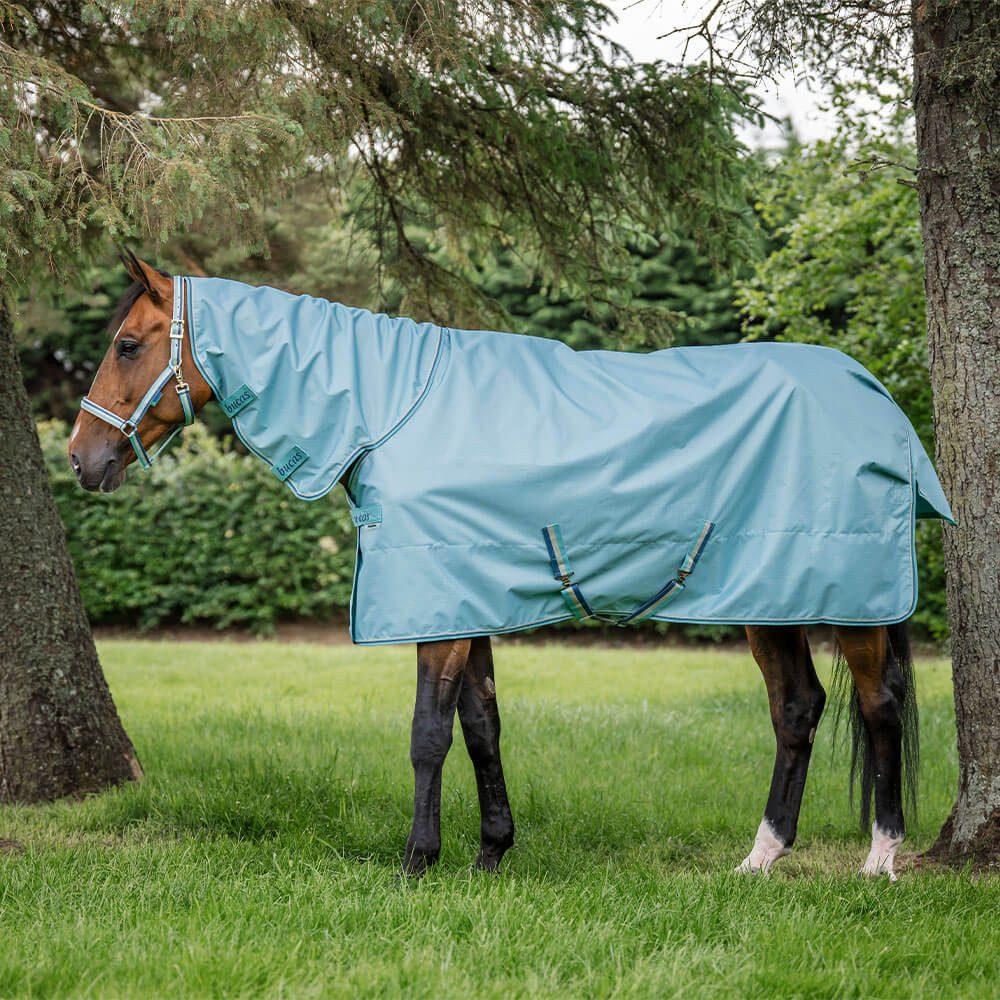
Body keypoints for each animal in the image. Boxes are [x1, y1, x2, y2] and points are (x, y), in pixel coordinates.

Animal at [68, 252, 927, 880]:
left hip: (851, 603)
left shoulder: (439, 610)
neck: (391, 409)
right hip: (768, 598)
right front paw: (490, 853)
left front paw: (416, 862)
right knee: (797, 709)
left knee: (879, 706)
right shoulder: (464, 600)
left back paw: (880, 860)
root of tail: (872, 390)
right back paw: (761, 857)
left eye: (128, 345)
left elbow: (427, 733)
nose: (81, 457)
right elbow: (481, 727)